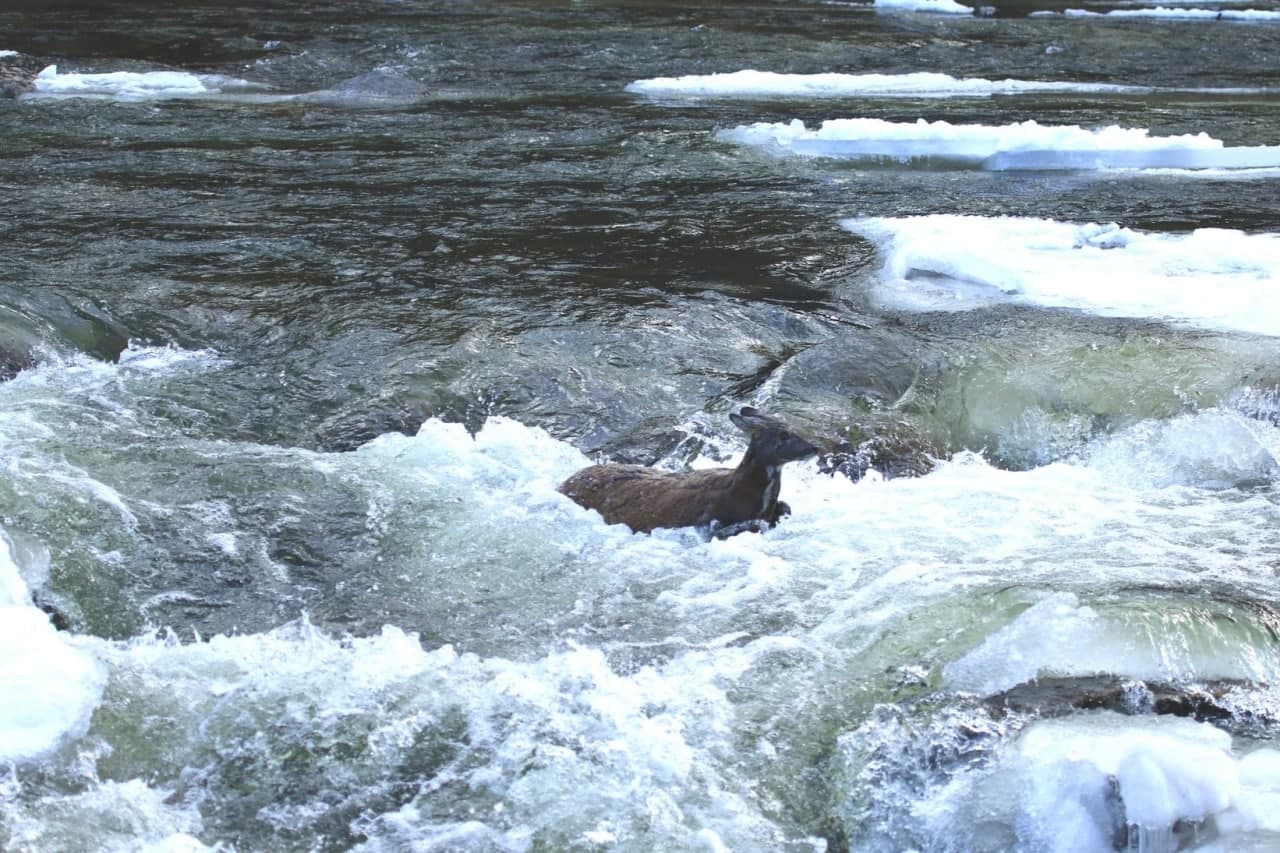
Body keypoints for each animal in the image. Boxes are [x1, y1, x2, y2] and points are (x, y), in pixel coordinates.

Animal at [558, 404, 819, 532]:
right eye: (783, 436)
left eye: (791, 429)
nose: (814, 447)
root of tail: (562, 484)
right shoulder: (713, 517)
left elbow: (785, 507)